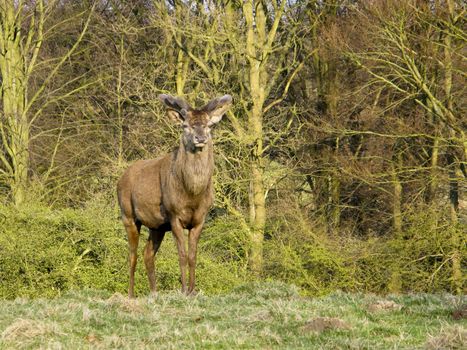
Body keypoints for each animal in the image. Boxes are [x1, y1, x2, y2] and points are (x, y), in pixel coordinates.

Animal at [118, 93, 233, 298]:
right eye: (185, 125)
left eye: (208, 125)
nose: (200, 138)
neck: (192, 195)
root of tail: (120, 180)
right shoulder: (174, 216)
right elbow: (182, 255)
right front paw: (184, 290)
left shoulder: (199, 219)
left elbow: (193, 255)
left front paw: (193, 291)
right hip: (128, 215)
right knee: (133, 255)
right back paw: (131, 294)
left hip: (157, 226)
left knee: (148, 254)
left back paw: (154, 293)